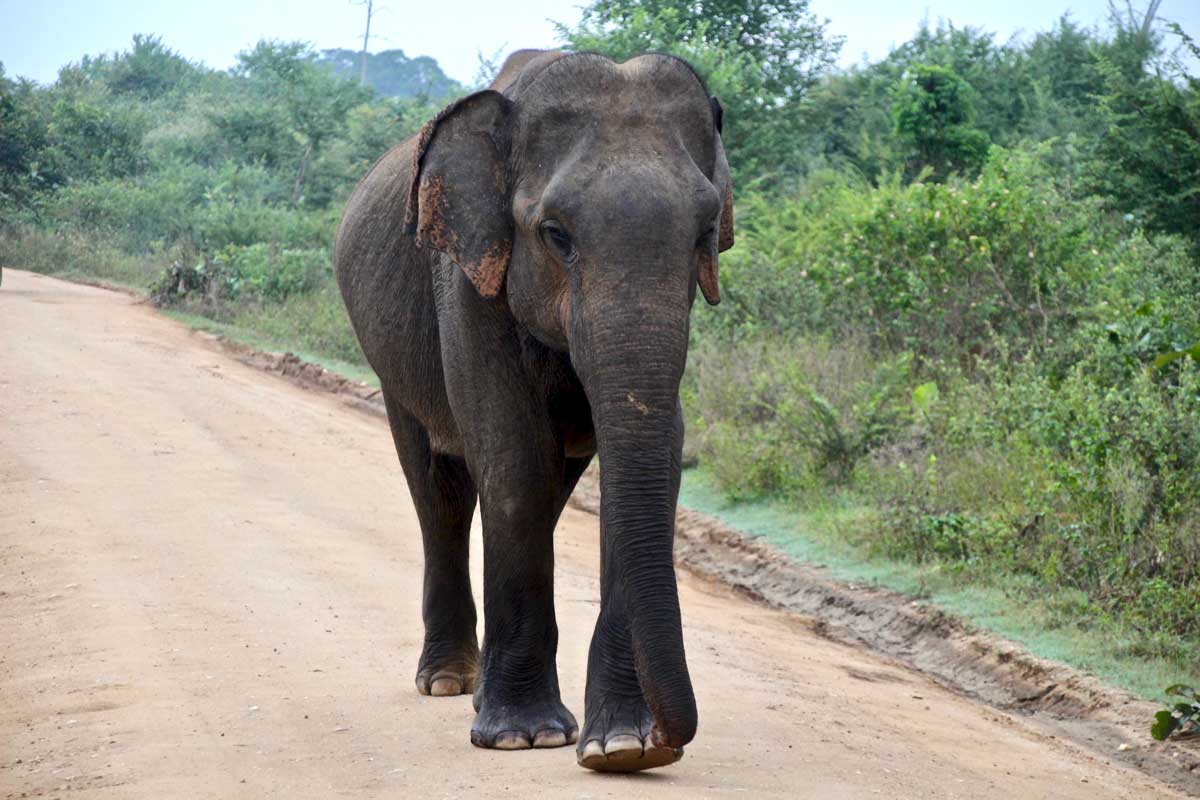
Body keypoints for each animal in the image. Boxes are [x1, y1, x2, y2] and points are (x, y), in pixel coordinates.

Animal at [333, 47, 734, 772]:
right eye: (556, 235)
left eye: (705, 233)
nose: (671, 740)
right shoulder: (467, 277)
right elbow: (512, 457)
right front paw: (526, 736)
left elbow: (640, 466)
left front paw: (620, 749)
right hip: (392, 364)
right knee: (438, 492)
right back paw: (448, 682)